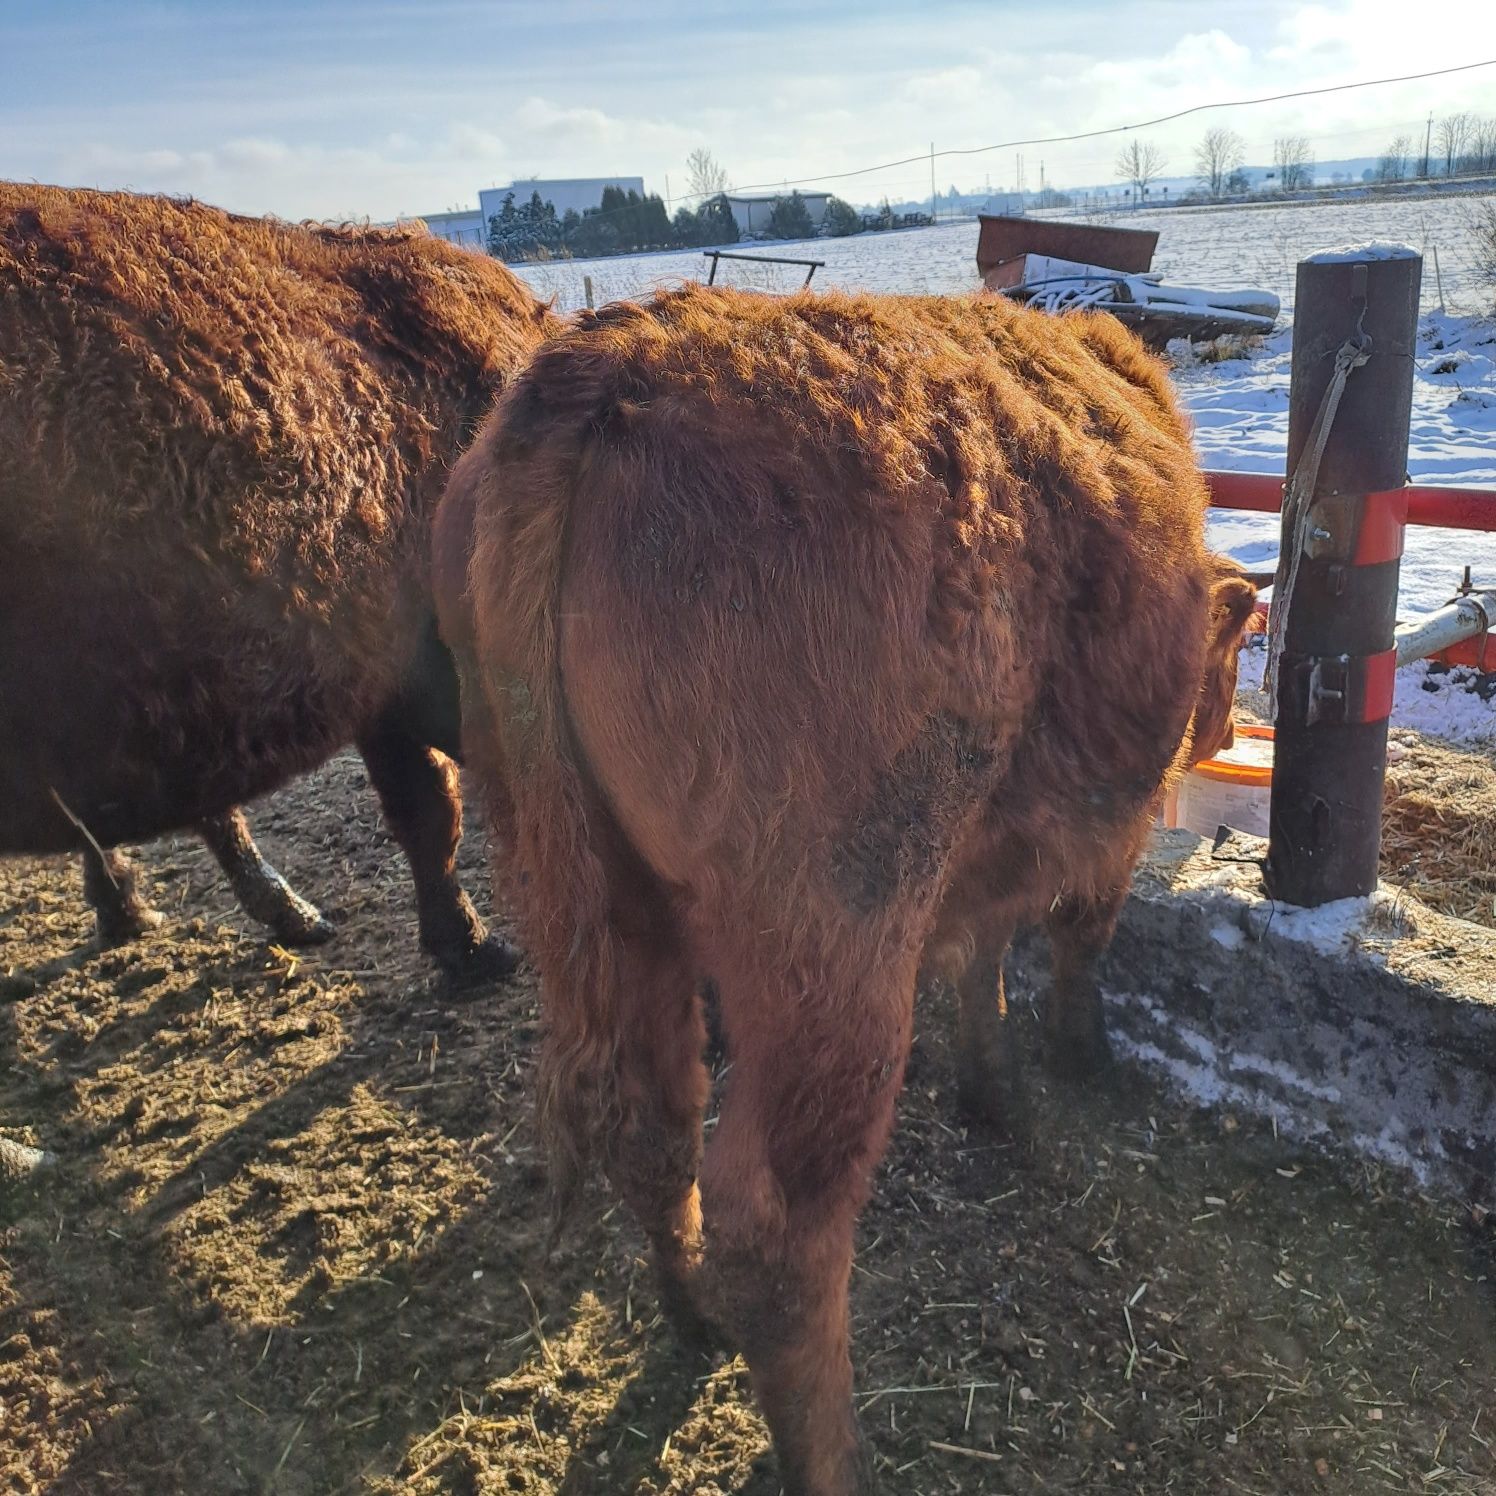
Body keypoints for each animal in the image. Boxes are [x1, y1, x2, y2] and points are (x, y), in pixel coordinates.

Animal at [436, 282, 1256, 1496]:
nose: (1219, 729)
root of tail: (611, 360)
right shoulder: (1091, 831)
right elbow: (1072, 941)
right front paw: (1073, 1057)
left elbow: (983, 961)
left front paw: (994, 1085)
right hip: (829, 942)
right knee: (779, 1233)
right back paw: (836, 1455)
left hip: (584, 889)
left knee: (654, 1121)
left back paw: (690, 1320)